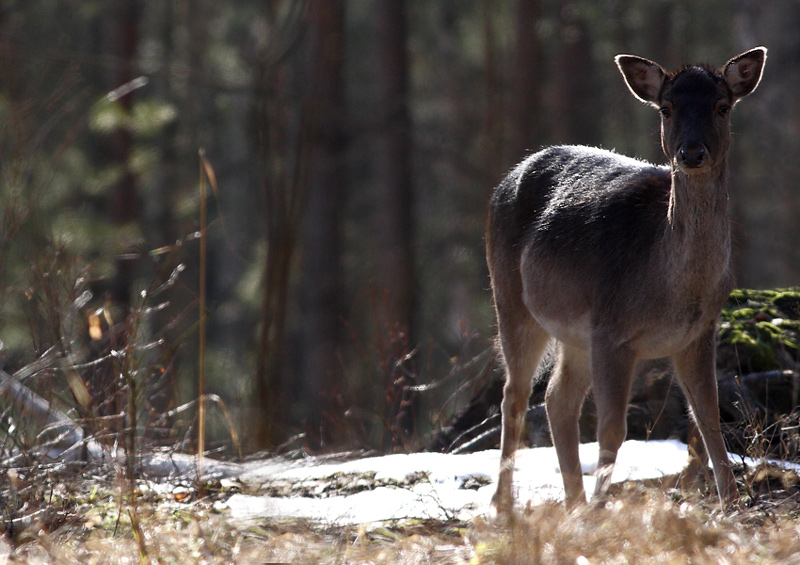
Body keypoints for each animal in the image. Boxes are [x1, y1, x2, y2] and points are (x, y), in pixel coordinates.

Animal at [488, 48, 768, 516]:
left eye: (722, 106)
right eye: (667, 108)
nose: (692, 152)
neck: (673, 289)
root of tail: (511, 173)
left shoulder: (699, 331)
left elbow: (709, 420)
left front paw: (732, 505)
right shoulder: (612, 329)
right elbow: (612, 430)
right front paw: (603, 509)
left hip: (575, 333)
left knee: (556, 398)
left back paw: (574, 502)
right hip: (510, 298)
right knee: (515, 393)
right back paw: (505, 504)